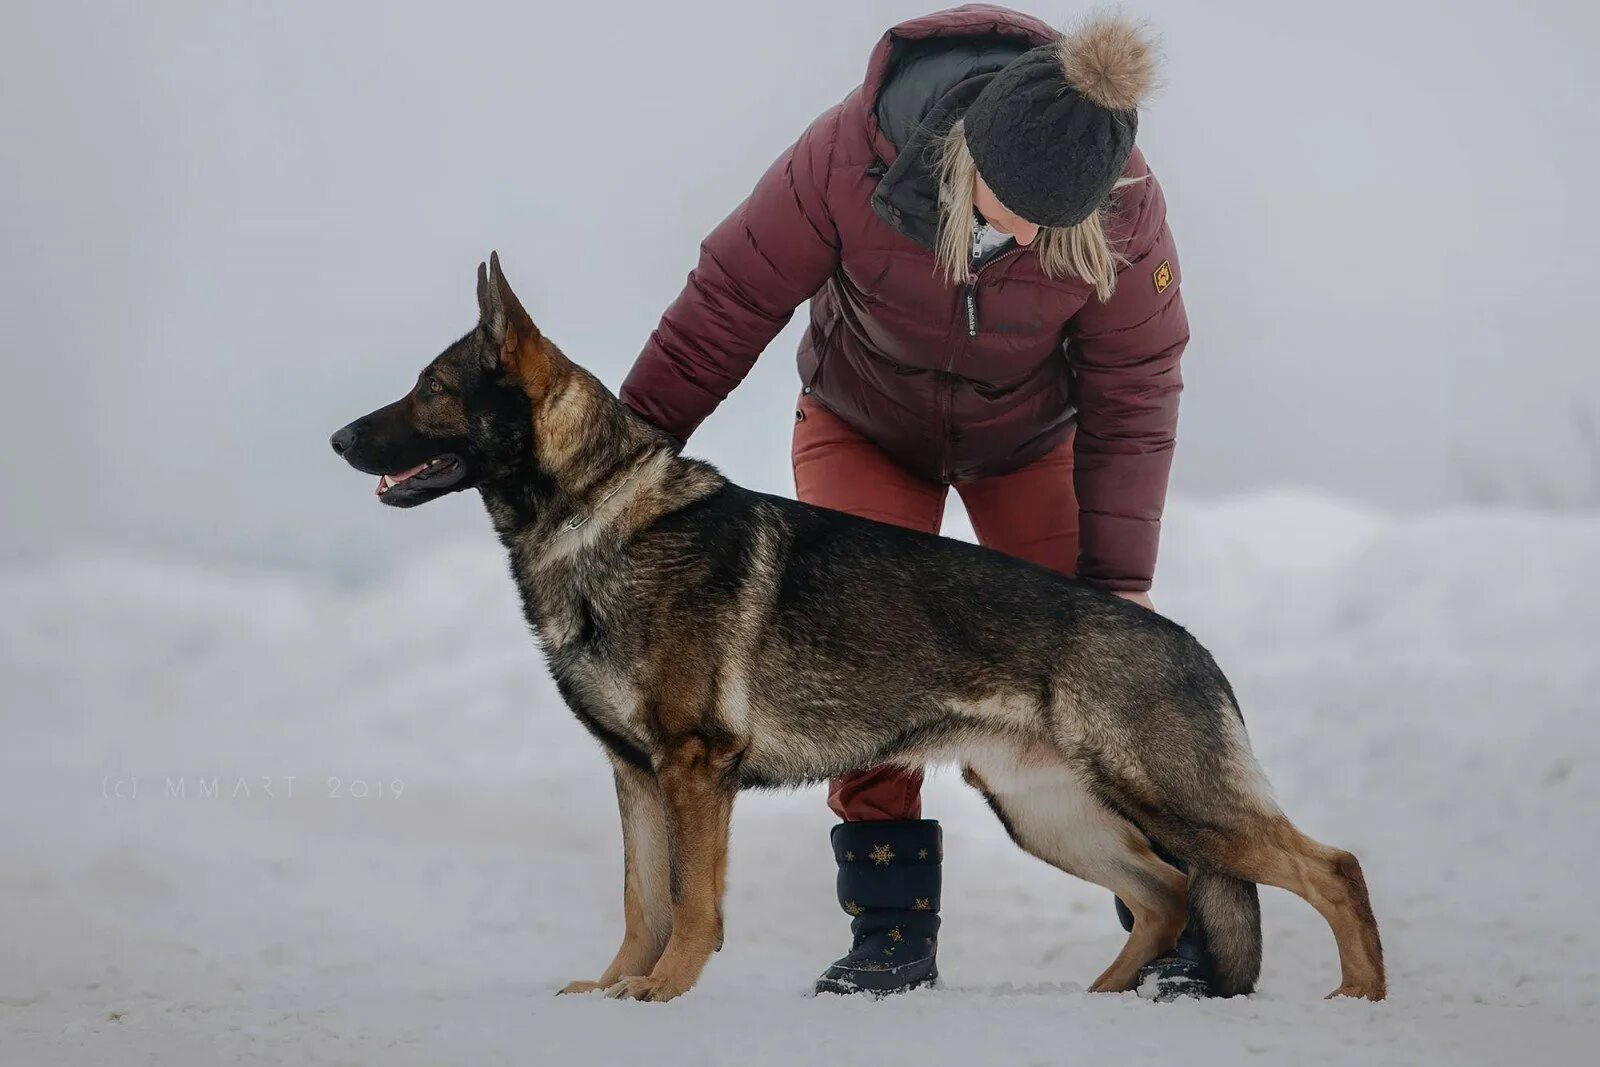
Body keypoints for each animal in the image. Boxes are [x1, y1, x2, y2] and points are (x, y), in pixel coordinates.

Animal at [331, 255, 1382, 1004]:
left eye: (432, 387)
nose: (338, 439)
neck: (594, 513)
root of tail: (1192, 646)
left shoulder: (693, 767)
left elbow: (690, 901)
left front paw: (665, 990)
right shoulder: (636, 775)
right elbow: (640, 899)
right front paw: (618, 984)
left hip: (1171, 799)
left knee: (1331, 866)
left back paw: (1359, 998)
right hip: (1047, 811)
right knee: (1164, 894)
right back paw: (1106, 996)